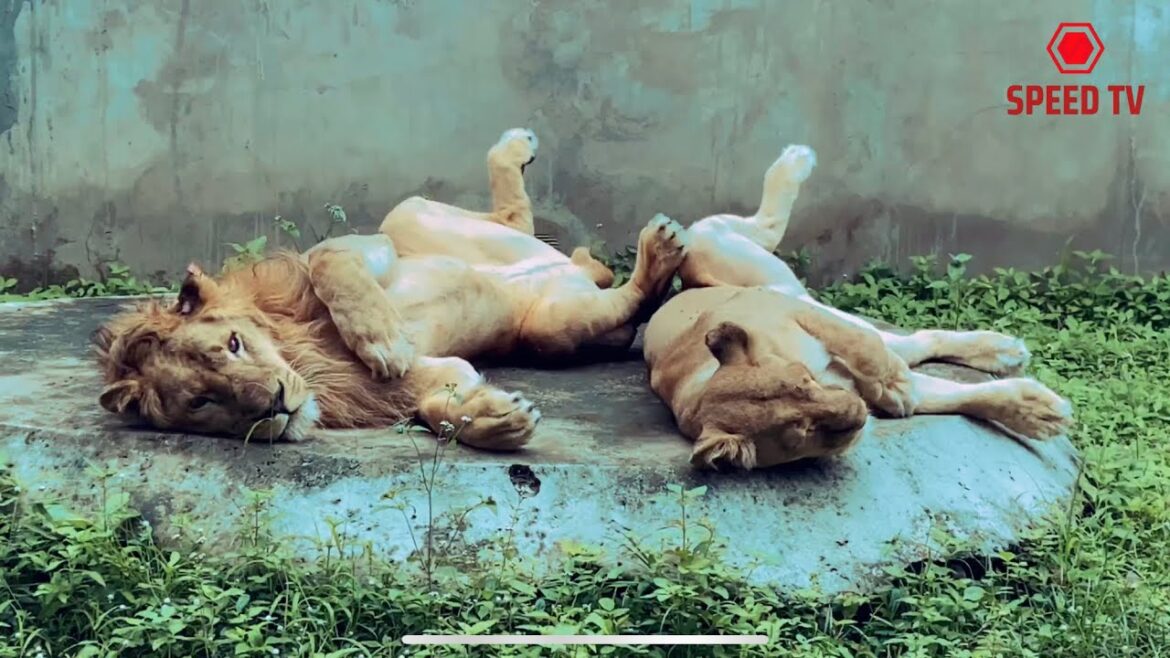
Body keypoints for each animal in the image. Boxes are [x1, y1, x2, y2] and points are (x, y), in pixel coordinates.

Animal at [93, 128, 689, 450]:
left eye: (234, 344)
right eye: (202, 402)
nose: (277, 404)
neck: (302, 353)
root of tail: (566, 269)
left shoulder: (360, 248)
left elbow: (332, 263)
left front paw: (382, 342)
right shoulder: (421, 377)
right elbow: (435, 400)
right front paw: (499, 419)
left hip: (407, 216)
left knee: (516, 220)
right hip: (550, 327)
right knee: (600, 288)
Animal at [643, 144, 1075, 470]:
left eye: (804, 380)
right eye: (800, 432)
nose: (858, 412)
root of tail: (688, 284)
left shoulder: (794, 313)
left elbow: (867, 350)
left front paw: (894, 385)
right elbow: (962, 397)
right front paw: (1039, 413)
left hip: (715, 247)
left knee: (766, 225)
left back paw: (795, 160)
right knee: (918, 341)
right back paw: (1003, 352)